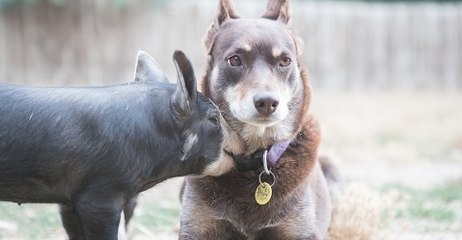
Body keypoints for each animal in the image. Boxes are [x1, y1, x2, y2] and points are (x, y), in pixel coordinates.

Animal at [179, 0, 334, 239]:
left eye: (285, 61)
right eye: (235, 60)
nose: (267, 102)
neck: (256, 156)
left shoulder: (301, 230)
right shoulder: (196, 228)